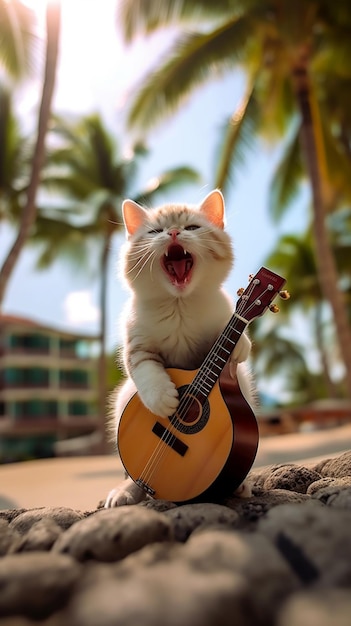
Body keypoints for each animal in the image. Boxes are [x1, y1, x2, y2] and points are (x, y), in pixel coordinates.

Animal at [105, 188, 256, 504]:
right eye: (155, 231)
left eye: (192, 227)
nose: (174, 232)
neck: (179, 305)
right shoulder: (137, 348)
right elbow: (148, 373)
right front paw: (164, 400)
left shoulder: (224, 325)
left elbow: (232, 335)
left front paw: (239, 346)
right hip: (124, 395)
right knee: (133, 476)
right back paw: (128, 490)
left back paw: (240, 484)